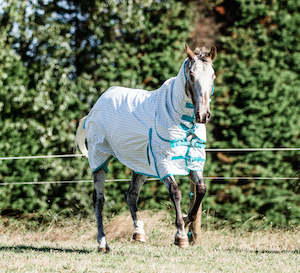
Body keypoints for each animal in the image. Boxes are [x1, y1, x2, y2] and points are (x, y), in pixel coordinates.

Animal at [75, 44, 216, 251]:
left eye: (213, 75)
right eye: (191, 75)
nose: (203, 115)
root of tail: (94, 109)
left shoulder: (193, 163)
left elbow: (201, 189)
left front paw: (184, 220)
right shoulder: (163, 162)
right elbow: (176, 192)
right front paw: (181, 235)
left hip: (141, 165)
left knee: (131, 195)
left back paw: (139, 233)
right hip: (99, 158)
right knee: (99, 200)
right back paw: (102, 243)